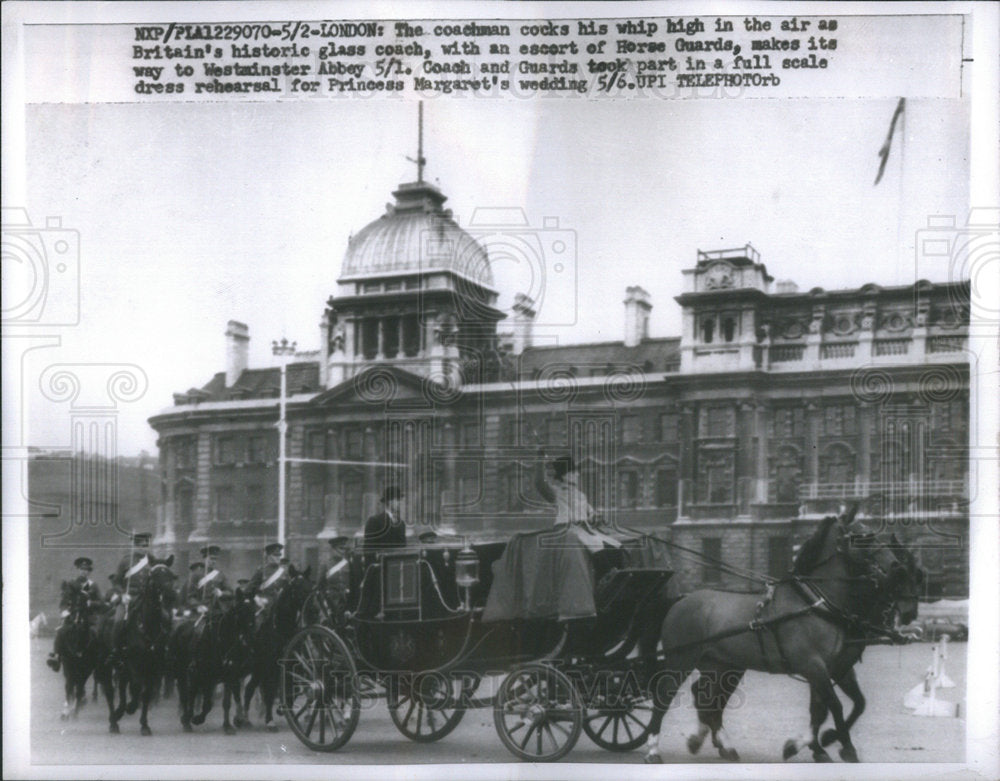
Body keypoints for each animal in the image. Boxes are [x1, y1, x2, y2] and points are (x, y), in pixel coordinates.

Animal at [644, 506, 912, 760]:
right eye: (860, 537)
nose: (896, 567)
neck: (815, 602)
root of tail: (681, 600)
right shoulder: (814, 665)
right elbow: (833, 706)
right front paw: (840, 746)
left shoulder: (833, 668)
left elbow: (833, 707)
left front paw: (813, 744)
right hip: (681, 660)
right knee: (664, 696)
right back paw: (653, 748)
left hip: (720, 665)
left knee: (706, 697)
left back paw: (719, 744)